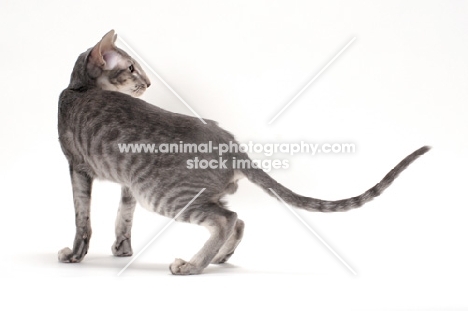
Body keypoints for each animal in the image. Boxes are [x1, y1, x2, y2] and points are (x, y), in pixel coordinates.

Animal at [58, 29, 432, 276]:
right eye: (131, 68)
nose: (148, 83)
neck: (79, 89)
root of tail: (231, 143)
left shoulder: (77, 166)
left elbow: (82, 218)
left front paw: (75, 255)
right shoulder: (126, 183)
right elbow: (123, 217)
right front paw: (122, 250)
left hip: (166, 195)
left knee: (226, 219)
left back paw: (192, 266)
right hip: (188, 191)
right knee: (236, 219)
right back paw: (219, 257)